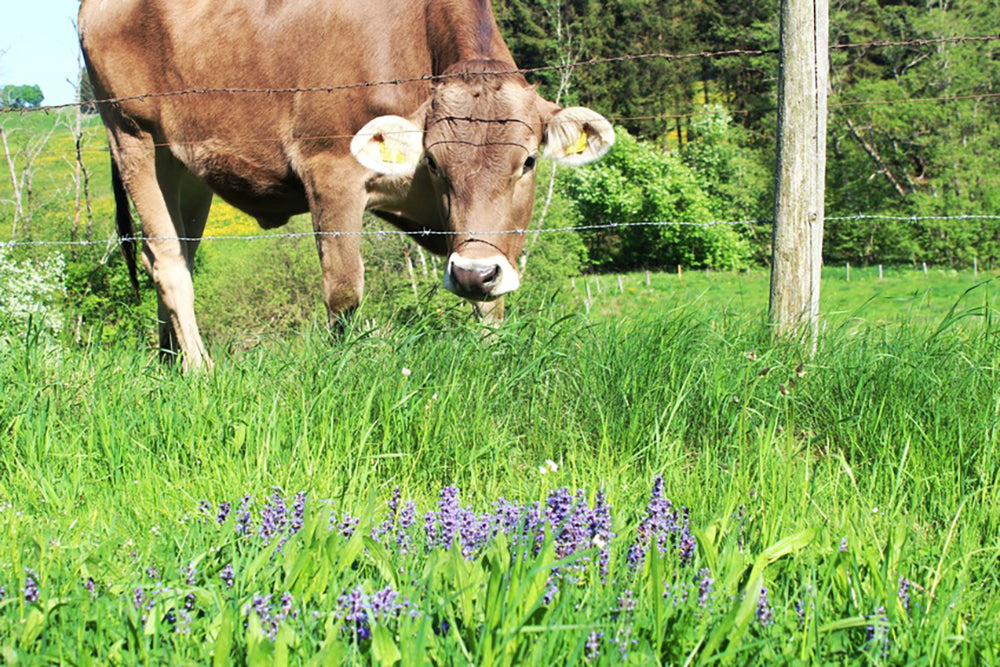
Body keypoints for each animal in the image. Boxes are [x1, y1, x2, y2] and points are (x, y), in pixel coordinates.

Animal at [80, 0, 608, 370]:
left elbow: (491, 303)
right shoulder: (330, 169)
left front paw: (491, 356)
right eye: (435, 162)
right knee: (167, 261)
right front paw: (347, 367)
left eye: (529, 161)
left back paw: (169, 362)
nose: (472, 274)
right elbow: (344, 290)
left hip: (186, 164)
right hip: (133, 135)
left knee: (181, 255)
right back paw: (198, 370)